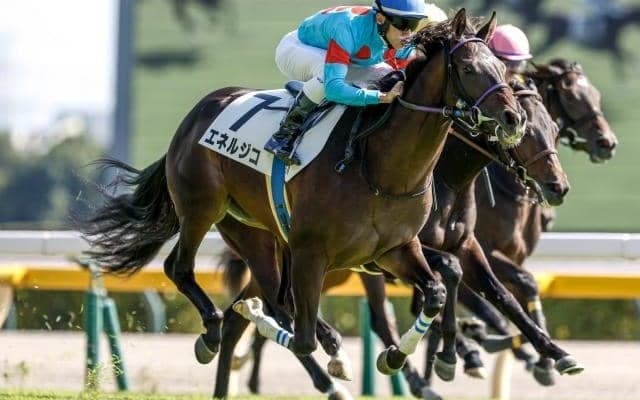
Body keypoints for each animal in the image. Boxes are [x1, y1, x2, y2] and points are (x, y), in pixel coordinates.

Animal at [78, 7, 525, 374]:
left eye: (501, 70)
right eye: (468, 67)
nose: (513, 118)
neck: (380, 168)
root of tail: (198, 112)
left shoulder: (394, 249)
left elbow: (435, 289)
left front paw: (396, 354)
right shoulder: (312, 251)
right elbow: (304, 339)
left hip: (252, 230)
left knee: (275, 295)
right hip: (201, 209)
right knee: (183, 270)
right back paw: (214, 332)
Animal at [212, 76, 576, 400]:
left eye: (554, 130)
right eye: (525, 131)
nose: (558, 186)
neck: (445, 177)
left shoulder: (465, 246)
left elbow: (501, 295)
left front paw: (552, 353)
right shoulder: (393, 253)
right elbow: (450, 276)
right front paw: (456, 353)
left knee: (241, 316)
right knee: (287, 309)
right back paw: (332, 380)